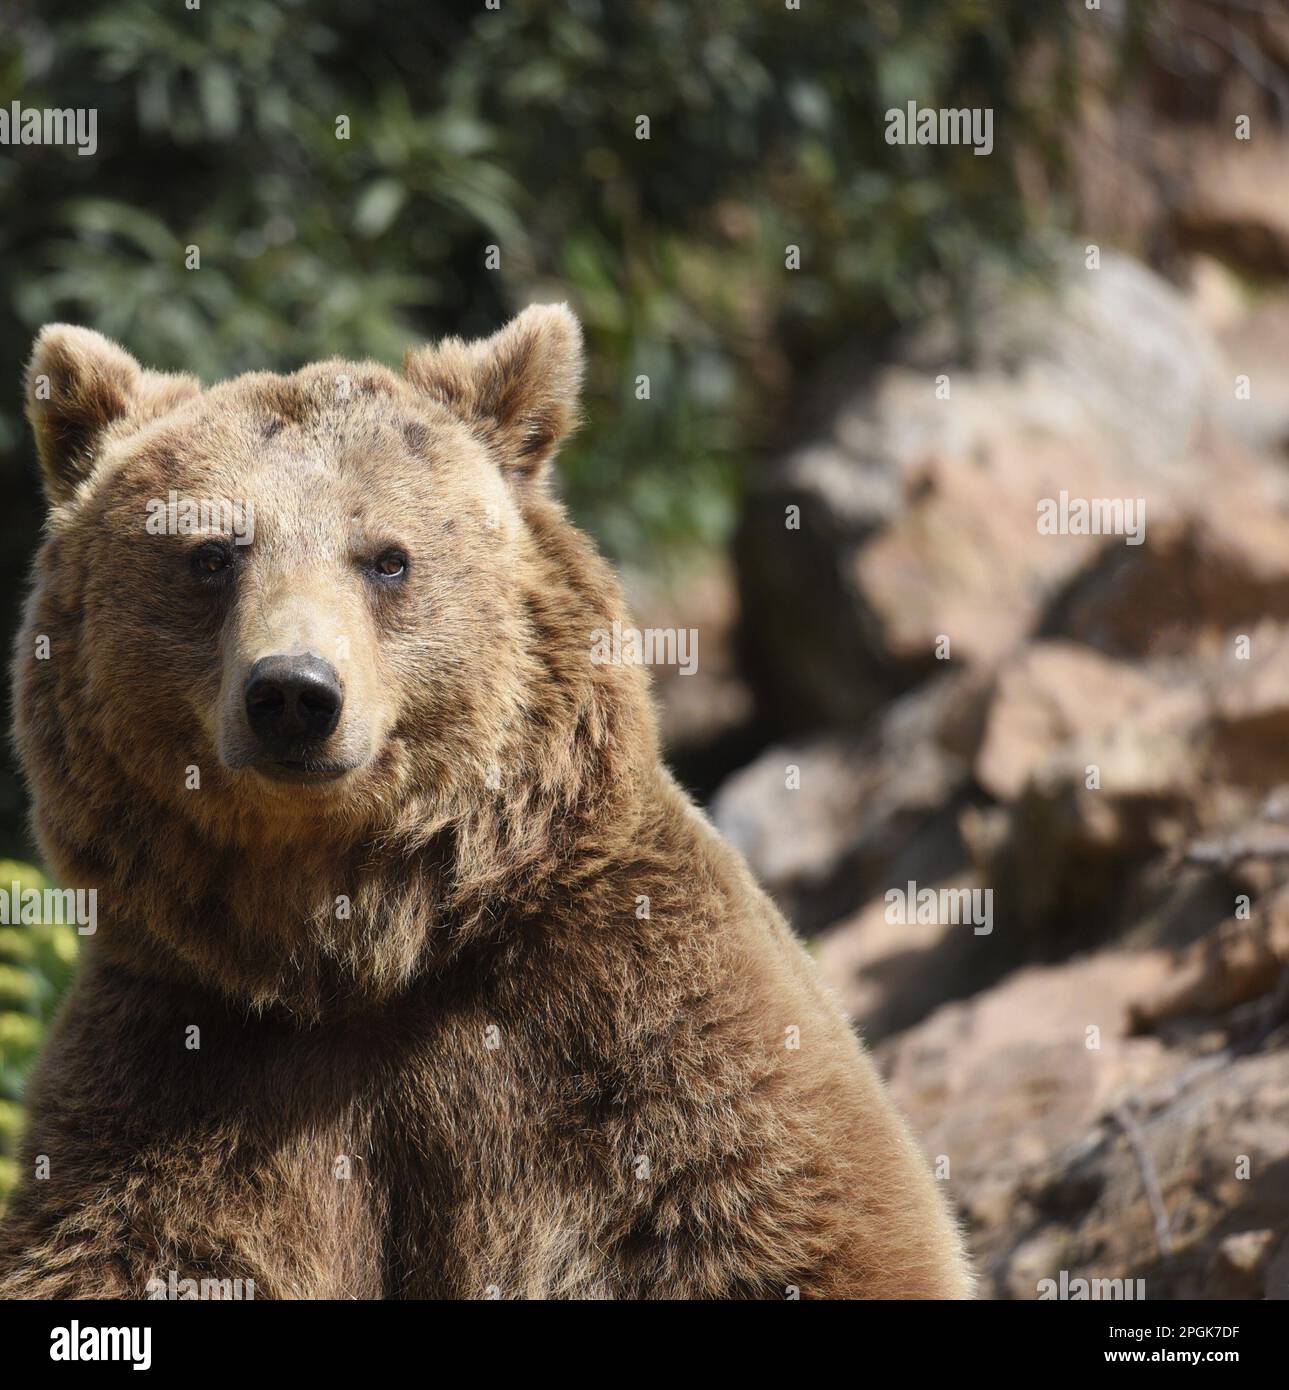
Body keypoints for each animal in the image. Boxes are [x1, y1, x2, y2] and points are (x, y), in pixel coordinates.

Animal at [0, 307, 971, 1299]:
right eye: (209, 555)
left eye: (387, 559)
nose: (294, 694)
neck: (364, 952)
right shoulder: (186, 1068)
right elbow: (138, 1243)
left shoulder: (626, 1025)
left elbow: (778, 1220)